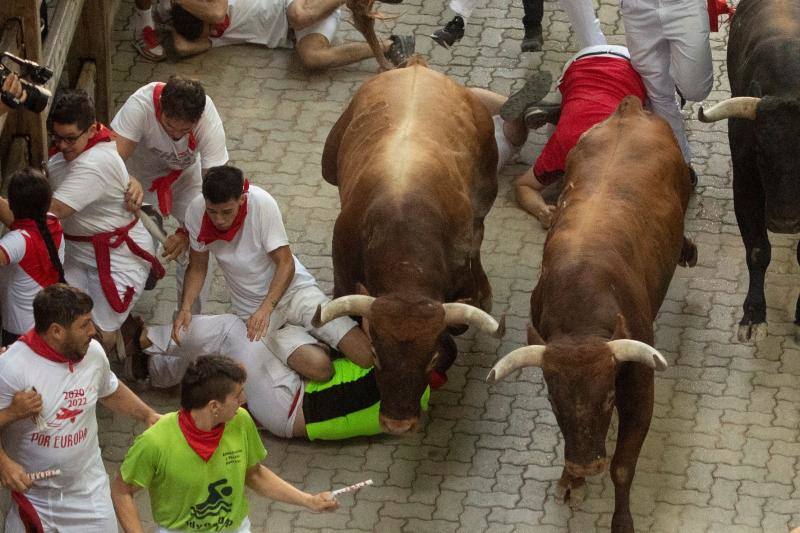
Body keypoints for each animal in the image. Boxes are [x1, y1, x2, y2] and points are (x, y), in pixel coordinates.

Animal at [316, 61, 504, 436]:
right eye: (376, 353)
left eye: (429, 357)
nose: (398, 423)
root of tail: (417, 67)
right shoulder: (343, 277)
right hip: (328, 163)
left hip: (487, 186)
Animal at [484, 96, 696, 532]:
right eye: (554, 400)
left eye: (609, 397)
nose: (586, 465)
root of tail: (628, 109)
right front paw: (570, 479)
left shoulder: (640, 391)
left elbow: (623, 466)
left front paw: (621, 519)